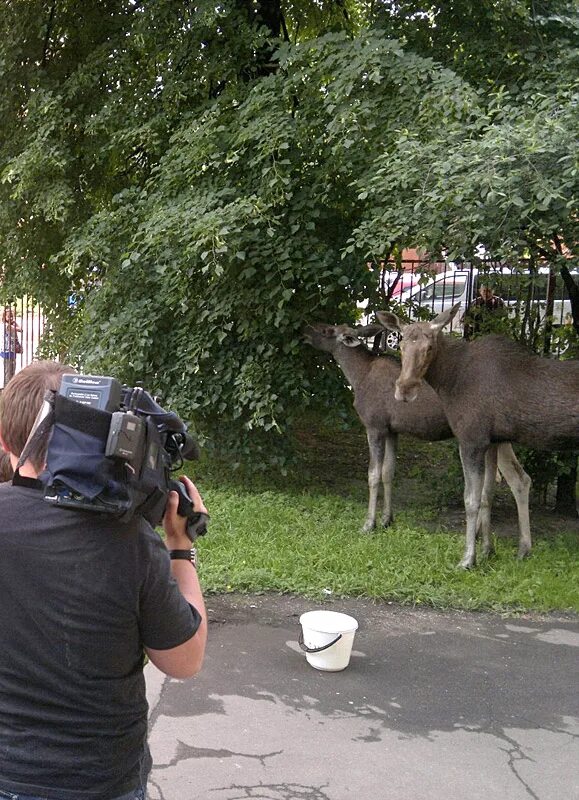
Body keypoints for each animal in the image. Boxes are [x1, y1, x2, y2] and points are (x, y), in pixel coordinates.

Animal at [306, 318, 532, 556]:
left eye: (327, 330)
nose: (305, 331)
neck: (357, 375)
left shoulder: (375, 426)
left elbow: (373, 475)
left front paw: (369, 524)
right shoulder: (392, 431)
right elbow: (388, 472)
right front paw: (387, 519)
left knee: (514, 480)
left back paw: (519, 546)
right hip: (498, 441)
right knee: (519, 479)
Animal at [376, 304, 579, 572]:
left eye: (429, 347)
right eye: (400, 344)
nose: (405, 388)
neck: (448, 381)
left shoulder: (471, 440)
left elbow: (470, 500)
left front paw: (467, 559)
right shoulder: (492, 441)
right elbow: (487, 495)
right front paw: (487, 551)